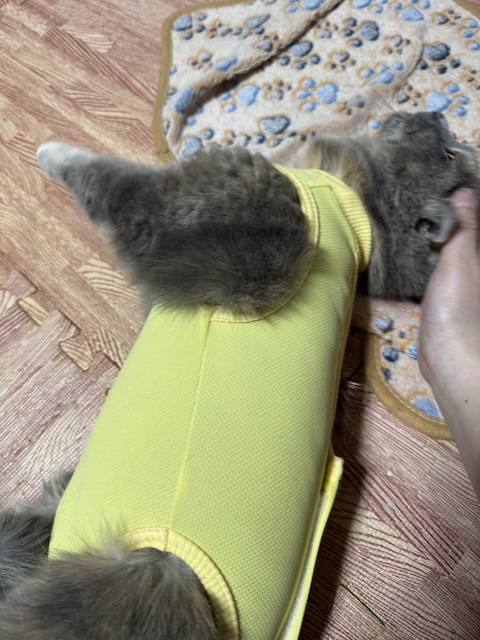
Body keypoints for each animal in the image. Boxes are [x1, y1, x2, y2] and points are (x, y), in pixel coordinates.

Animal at [0, 111, 478, 640]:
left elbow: (110, 180)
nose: (436, 113)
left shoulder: (212, 201)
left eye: (452, 153)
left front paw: (51, 151)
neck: (353, 208)